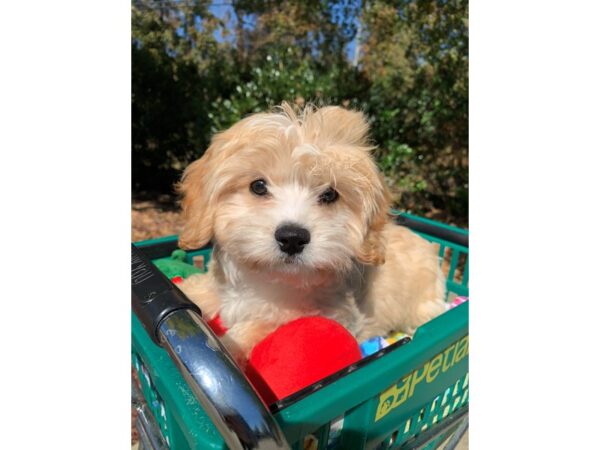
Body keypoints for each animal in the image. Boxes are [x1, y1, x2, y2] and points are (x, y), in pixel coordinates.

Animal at [177, 103, 446, 362]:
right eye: (258, 186)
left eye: (330, 194)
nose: (292, 238)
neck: (268, 277)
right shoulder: (219, 284)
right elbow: (202, 287)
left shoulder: (325, 313)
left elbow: (261, 325)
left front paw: (230, 346)